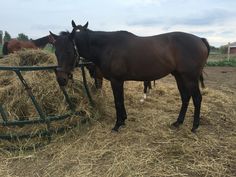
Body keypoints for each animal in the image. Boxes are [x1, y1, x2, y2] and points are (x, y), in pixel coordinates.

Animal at [49, 20, 210, 132]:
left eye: (69, 51)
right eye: (56, 51)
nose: (61, 79)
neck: (107, 47)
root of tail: (200, 39)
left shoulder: (116, 81)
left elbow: (118, 101)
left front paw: (117, 125)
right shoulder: (118, 81)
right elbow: (121, 100)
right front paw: (123, 120)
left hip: (190, 78)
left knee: (197, 98)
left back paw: (195, 127)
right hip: (179, 76)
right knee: (185, 97)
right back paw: (178, 122)